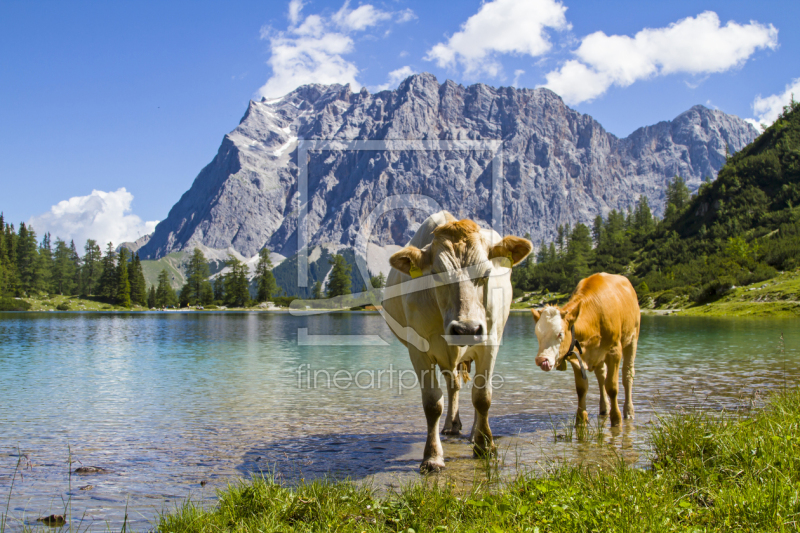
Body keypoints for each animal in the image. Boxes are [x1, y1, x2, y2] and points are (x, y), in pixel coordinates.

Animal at [382, 211, 532, 470]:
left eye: (486, 273)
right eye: (435, 274)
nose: (466, 329)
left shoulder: (490, 343)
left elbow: (482, 398)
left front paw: (485, 446)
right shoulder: (418, 350)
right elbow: (433, 403)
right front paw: (432, 457)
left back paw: (474, 434)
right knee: (453, 385)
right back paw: (452, 426)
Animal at [536, 272, 640, 426]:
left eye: (560, 333)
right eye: (537, 334)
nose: (541, 359)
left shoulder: (614, 351)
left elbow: (612, 387)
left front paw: (616, 419)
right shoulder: (576, 356)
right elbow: (581, 389)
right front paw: (581, 420)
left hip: (632, 338)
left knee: (627, 374)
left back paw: (629, 411)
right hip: (600, 356)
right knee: (601, 375)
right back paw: (604, 408)